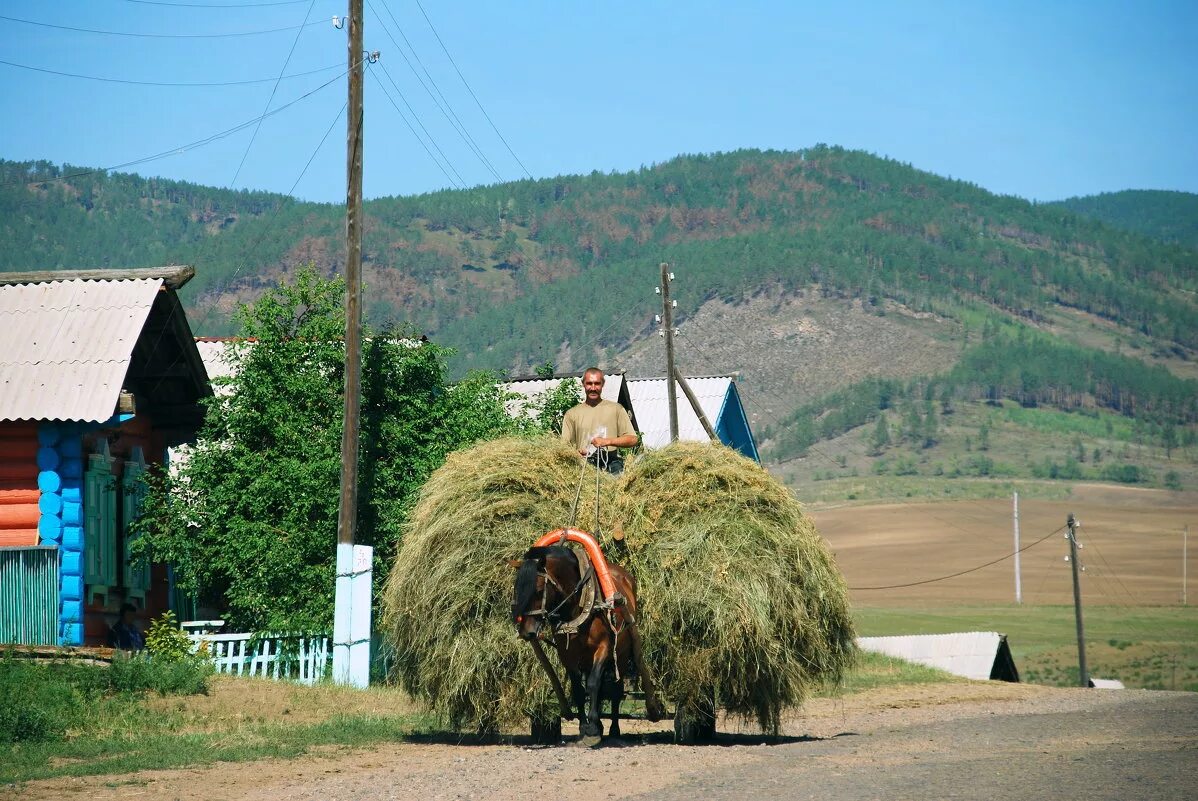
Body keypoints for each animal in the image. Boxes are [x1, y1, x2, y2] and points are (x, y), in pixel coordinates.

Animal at [512, 543, 666, 742]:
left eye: (538, 591)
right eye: (517, 591)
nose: (526, 632)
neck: (580, 605)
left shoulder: (604, 648)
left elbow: (593, 684)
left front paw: (592, 729)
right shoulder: (567, 654)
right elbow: (579, 689)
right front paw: (584, 727)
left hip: (622, 654)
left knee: (615, 690)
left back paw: (614, 730)